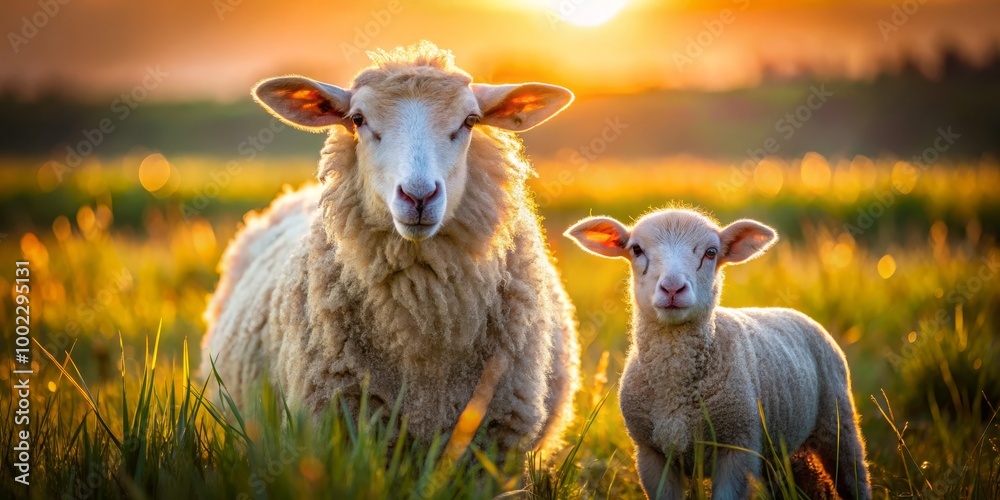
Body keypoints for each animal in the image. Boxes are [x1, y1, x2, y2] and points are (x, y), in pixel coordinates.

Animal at [564, 208, 871, 499]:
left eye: (711, 252)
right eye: (636, 249)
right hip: (781, 452)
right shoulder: (651, 454)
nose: (673, 288)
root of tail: (794, 312)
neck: (674, 390)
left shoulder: (738, 448)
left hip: (838, 425)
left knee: (854, 477)